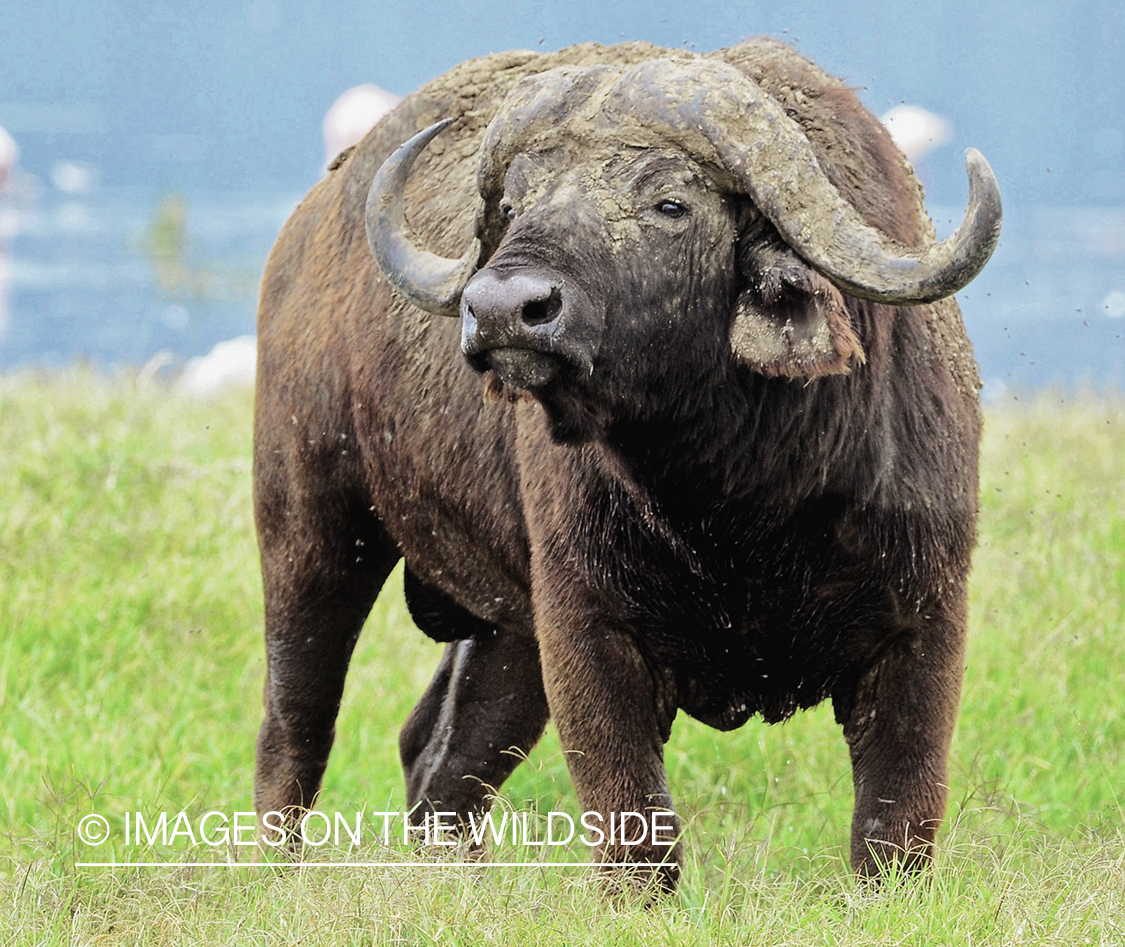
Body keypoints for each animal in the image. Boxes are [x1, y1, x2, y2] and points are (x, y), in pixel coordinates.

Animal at [252, 37, 1001, 892]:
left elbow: (894, 823)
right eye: (512, 207)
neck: (741, 507)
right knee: (295, 730)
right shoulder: (587, 630)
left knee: (439, 756)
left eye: (670, 204)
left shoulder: (924, 622)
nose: (502, 308)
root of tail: (310, 226)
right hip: (310, 527)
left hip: (504, 631)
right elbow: (635, 826)